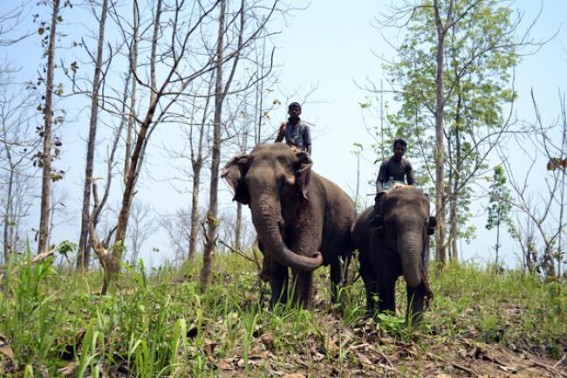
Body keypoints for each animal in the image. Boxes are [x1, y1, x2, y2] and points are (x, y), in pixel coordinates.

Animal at [222, 143, 356, 308]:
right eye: (247, 184)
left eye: (284, 183)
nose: (319, 254)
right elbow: (277, 260)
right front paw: (276, 310)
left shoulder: (312, 201)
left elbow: (304, 250)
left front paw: (300, 311)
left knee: (340, 267)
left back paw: (340, 307)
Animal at [352, 185, 438, 324]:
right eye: (392, 222)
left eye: (426, 223)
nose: (429, 294)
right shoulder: (377, 237)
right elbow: (386, 278)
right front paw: (388, 321)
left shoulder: (426, 242)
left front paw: (413, 327)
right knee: (370, 281)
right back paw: (369, 316)